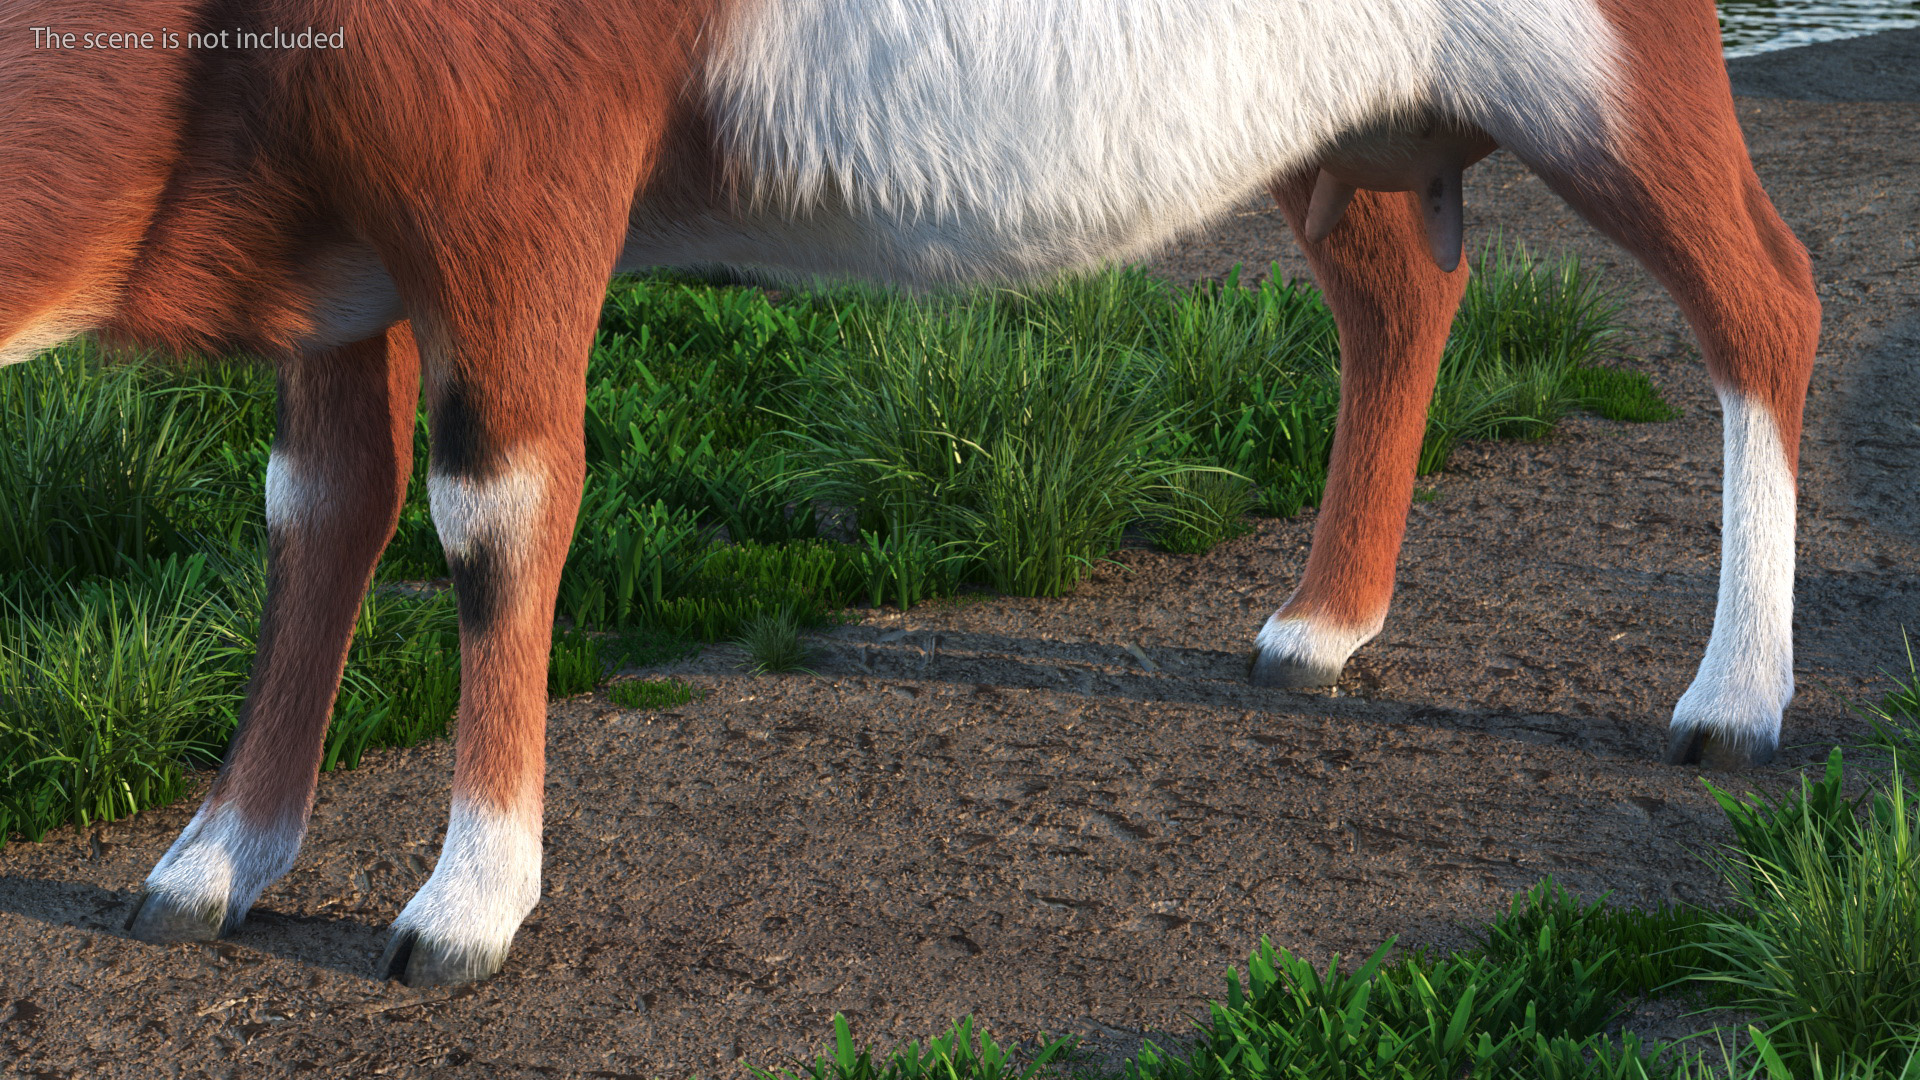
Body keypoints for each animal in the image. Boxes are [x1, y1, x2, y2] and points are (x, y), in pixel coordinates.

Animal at [0, 0, 1820, 983]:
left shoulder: (518, 197)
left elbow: (497, 514)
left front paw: (466, 904)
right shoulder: (346, 256)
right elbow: (319, 511)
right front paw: (211, 864)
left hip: (1614, 78)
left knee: (1767, 300)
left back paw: (1733, 700)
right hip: (1365, 126)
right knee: (1405, 293)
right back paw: (1319, 628)